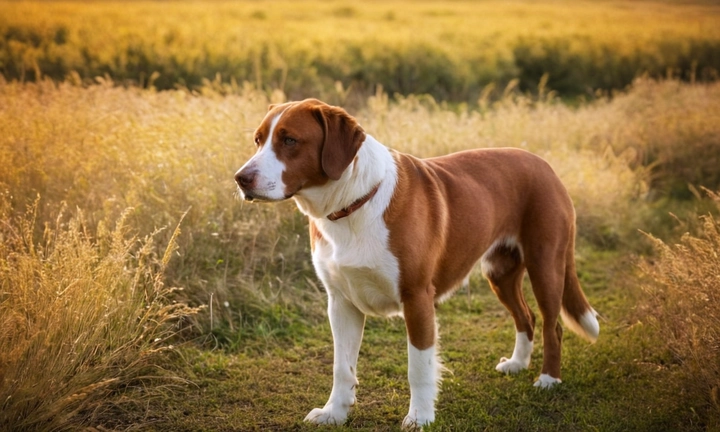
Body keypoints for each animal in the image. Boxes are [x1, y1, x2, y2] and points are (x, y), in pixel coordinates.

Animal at [233, 98, 600, 428]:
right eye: (258, 140)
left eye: (289, 140)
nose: (240, 178)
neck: (350, 205)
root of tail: (543, 164)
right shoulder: (341, 302)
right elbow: (342, 367)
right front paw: (334, 412)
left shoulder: (417, 298)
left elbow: (419, 366)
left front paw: (421, 417)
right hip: (500, 272)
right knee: (526, 317)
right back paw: (517, 363)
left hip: (545, 265)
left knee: (553, 325)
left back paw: (549, 379)